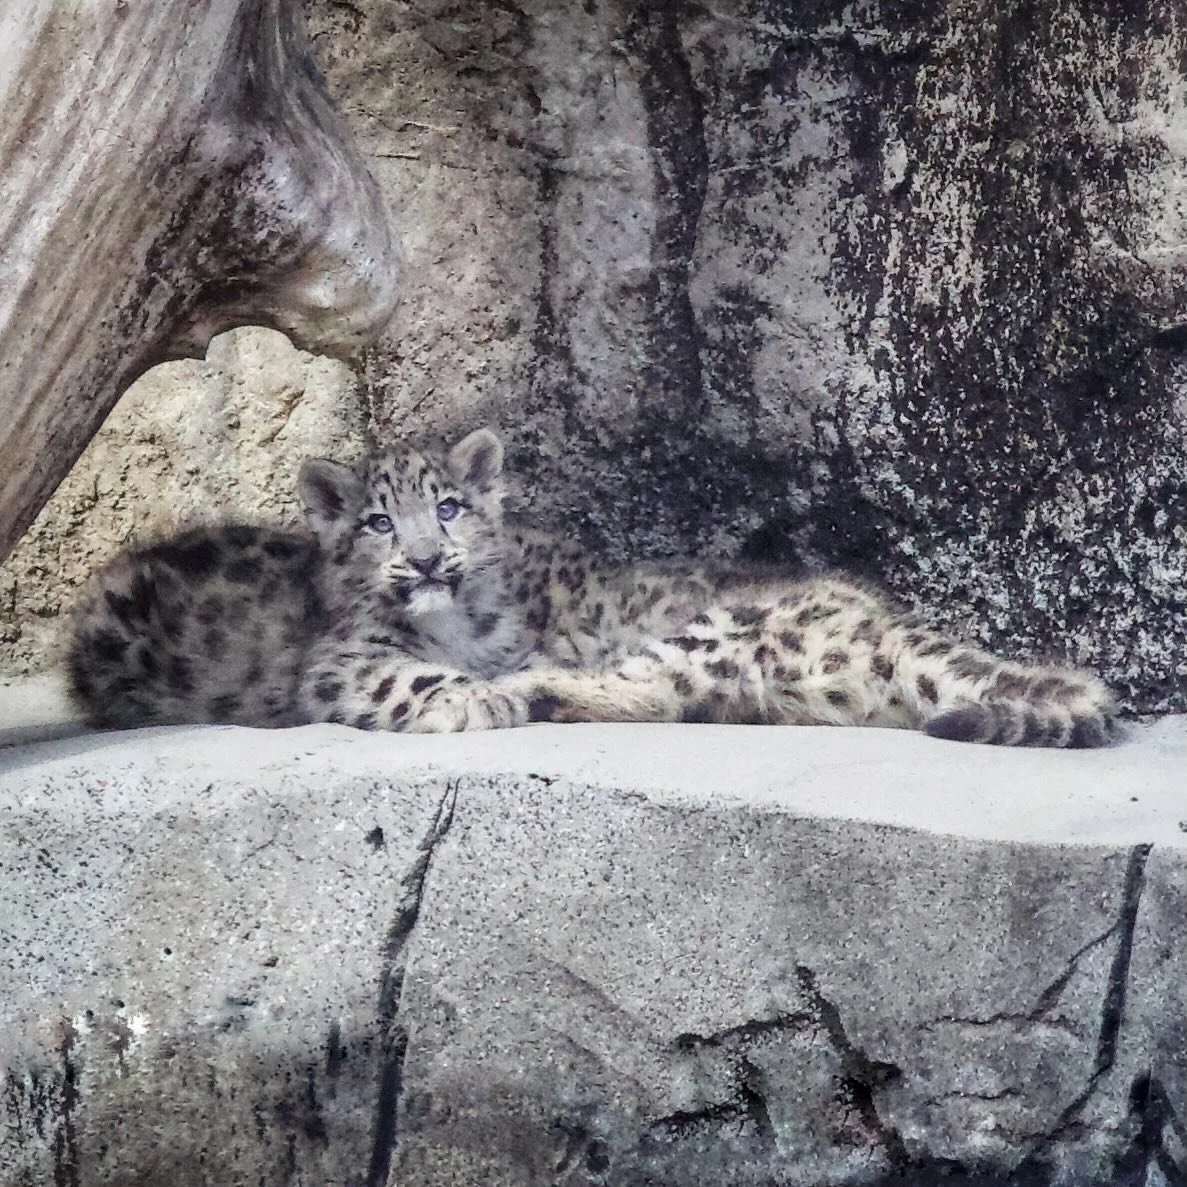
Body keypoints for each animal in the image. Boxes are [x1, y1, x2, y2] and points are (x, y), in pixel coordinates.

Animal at [67, 427, 1118, 747]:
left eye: (447, 507)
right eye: (377, 523)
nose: (426, 560)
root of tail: (878, 621)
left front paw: (495, 686)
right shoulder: (342, 661)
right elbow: (411, 675)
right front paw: (473, 695)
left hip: (719, 629)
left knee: (654, 685)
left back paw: (538, 688)